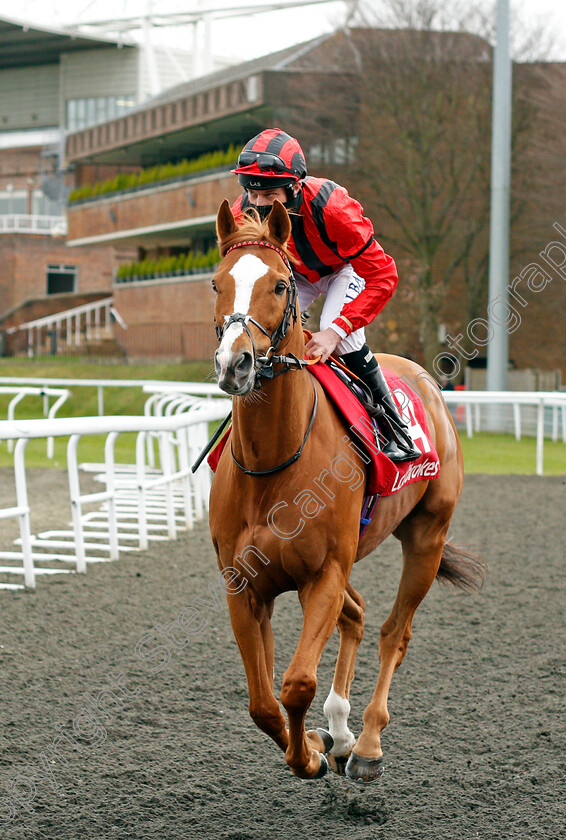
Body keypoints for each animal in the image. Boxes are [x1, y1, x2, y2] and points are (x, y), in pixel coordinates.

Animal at [210, 199, 488, 780]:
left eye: (279, 285)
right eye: (216, 283)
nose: (234, 363)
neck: (273, 463)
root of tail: (427, 383)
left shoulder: (323, 575)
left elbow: (296, 684)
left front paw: (313, 753)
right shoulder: (244, 585)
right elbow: (263, 703)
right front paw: (318, 744)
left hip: (426, 536)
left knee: (393, 632)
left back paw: (366, 745)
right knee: (357, 616)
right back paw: (339, 734)